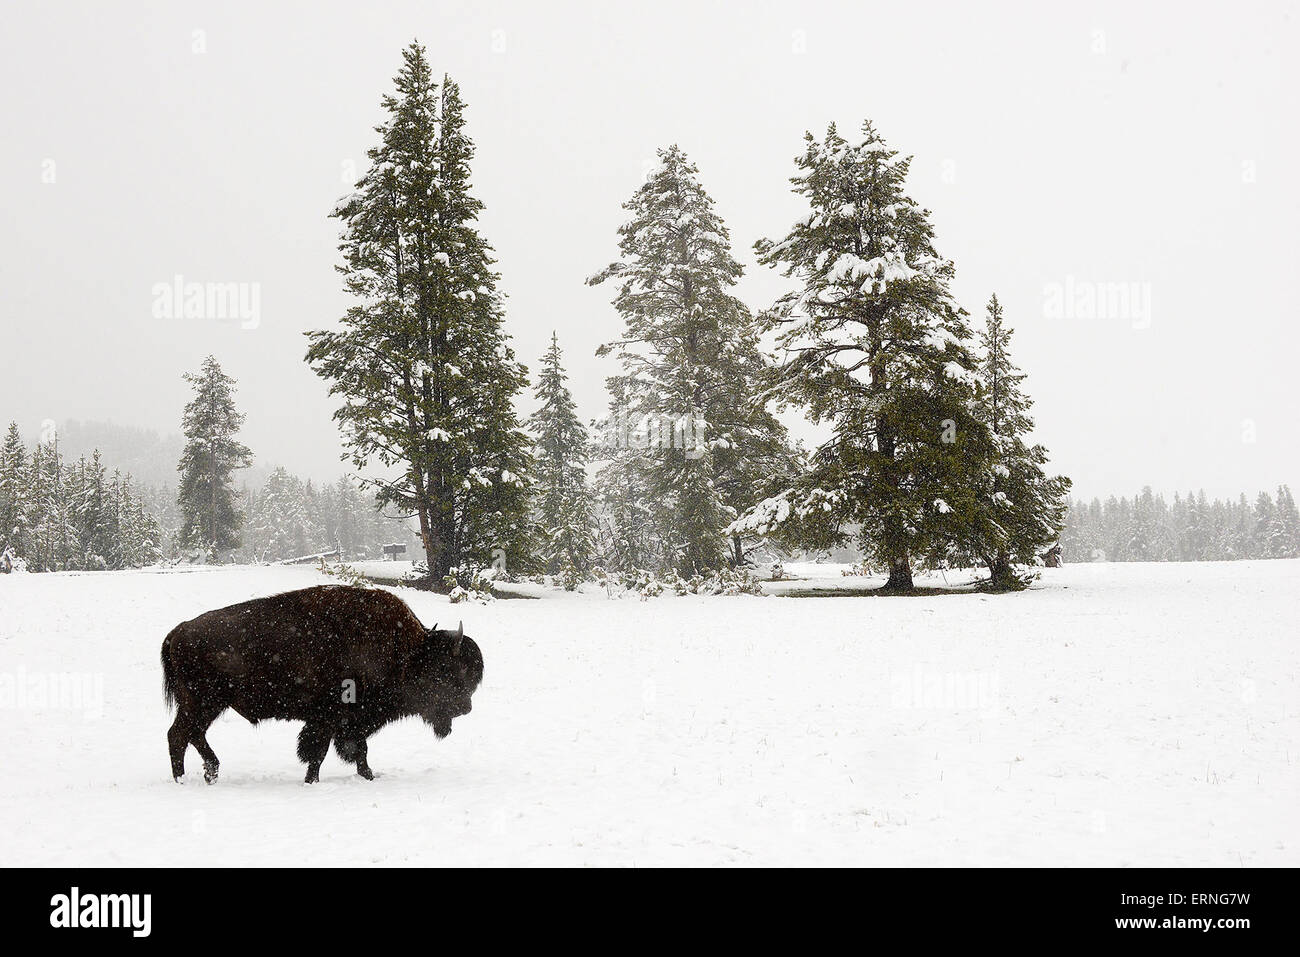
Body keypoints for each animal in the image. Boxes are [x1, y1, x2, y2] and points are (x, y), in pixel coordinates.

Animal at [160, 584, 483, 783]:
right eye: (448, 671)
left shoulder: (341, 722)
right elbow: (322, 752)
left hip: (209, 705)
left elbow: (354, 751)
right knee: (179, 735)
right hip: (202, 702)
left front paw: (367, 776)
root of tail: (179, 631)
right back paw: (185, 780)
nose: (465, 708)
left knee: (193, 735)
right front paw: (313, 781)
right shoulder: (332, 718)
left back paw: (210, 773)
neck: (408, 654)